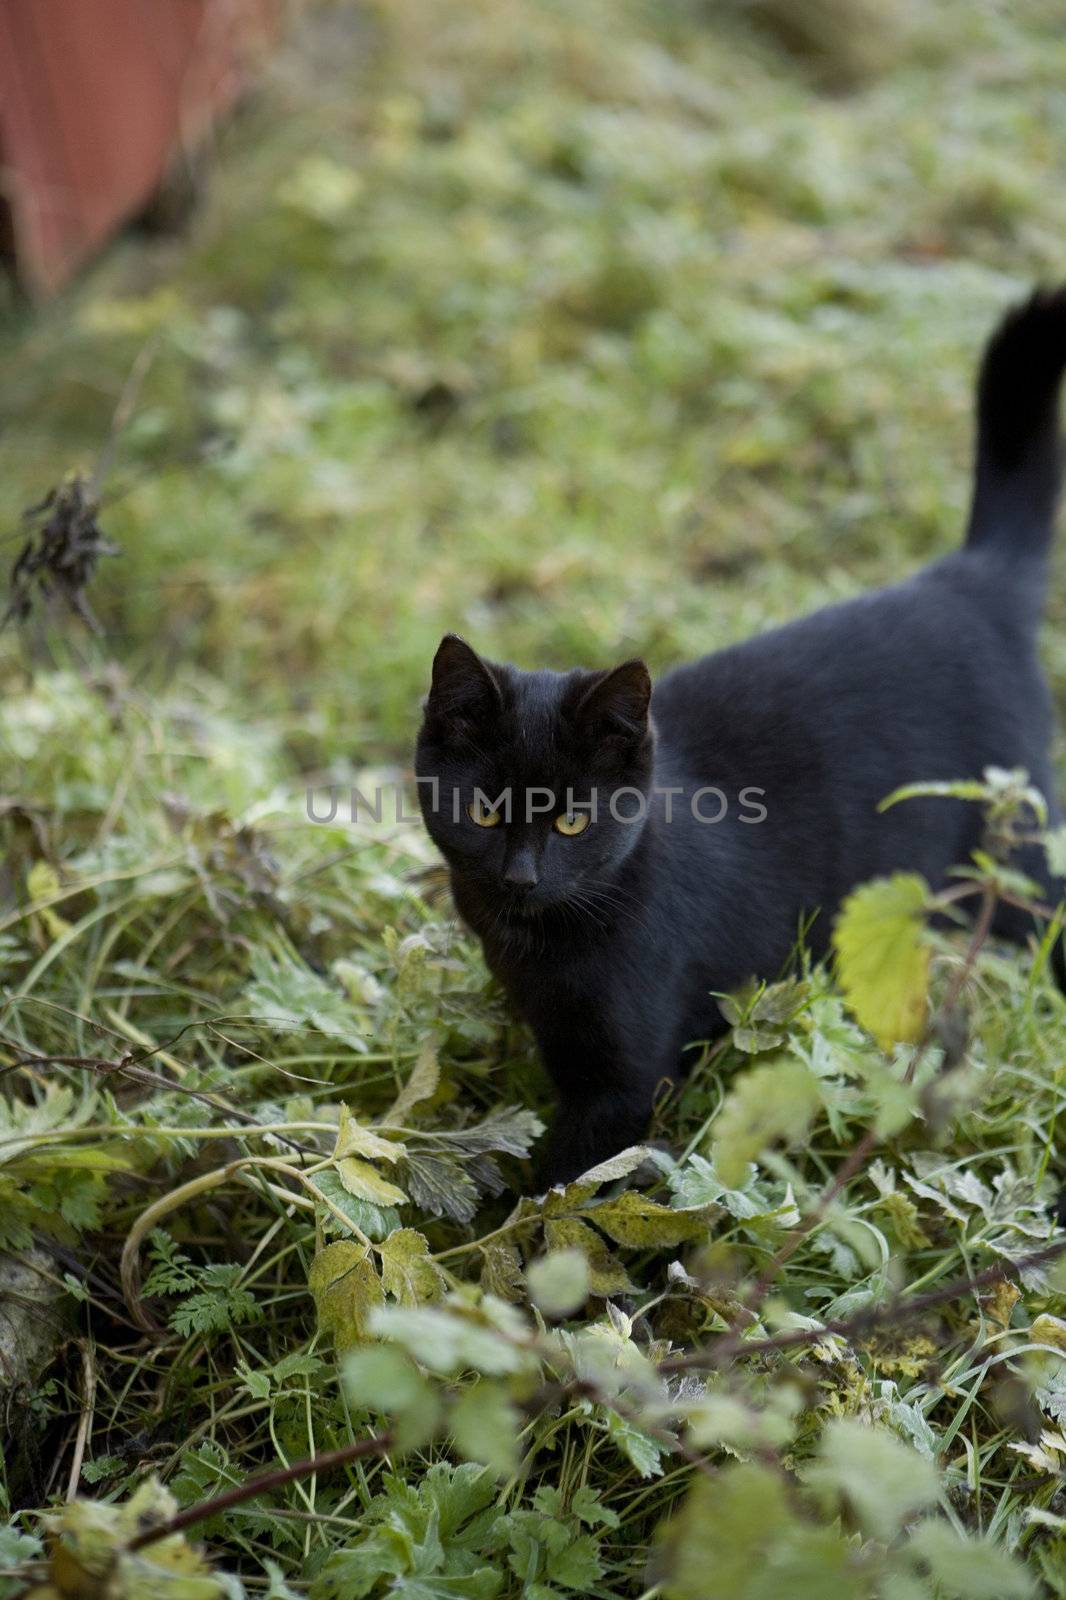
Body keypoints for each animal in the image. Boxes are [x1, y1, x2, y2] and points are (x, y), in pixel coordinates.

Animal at [412, 291, 1062, 1190]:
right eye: (481, 811)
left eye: (573, 819)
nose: (520, 875)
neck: (541, 948)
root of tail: (967, 579)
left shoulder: (627, 1080)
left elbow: (570, 1184)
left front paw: (504, 1224)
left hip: (1017, 859)